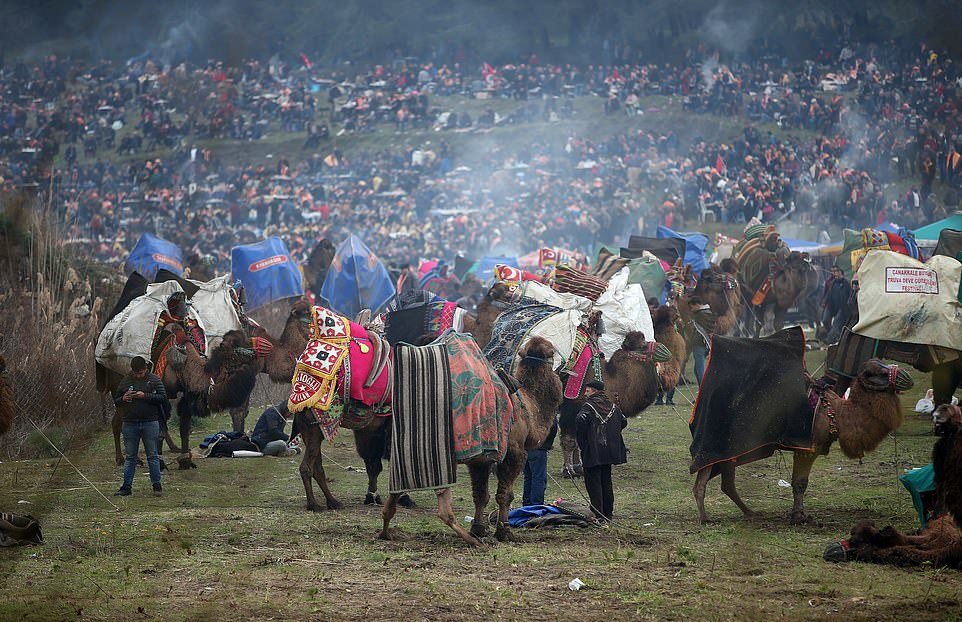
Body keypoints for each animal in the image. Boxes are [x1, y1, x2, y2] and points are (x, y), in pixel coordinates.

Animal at [378, 336, 564, 544]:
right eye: (553, 352)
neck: (529, 408)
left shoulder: (480, 460)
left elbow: (480, 495)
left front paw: (479, 528)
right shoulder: (514, 452)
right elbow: (505, 495)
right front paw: (504, 532)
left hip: (403, 450)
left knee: (396, 490)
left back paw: (386, 531)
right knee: (442, 508)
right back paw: (471, 540)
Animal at [692, 360, 912, 528]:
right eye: (878, 373)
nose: (907, 375)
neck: (837, 413)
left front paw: (799, 515)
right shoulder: (808, 448)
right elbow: (800, 483)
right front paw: (799, 517)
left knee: (723, 482)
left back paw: (748, 512)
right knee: (706, 479)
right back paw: (706, 518)